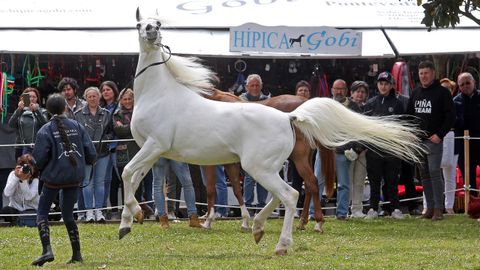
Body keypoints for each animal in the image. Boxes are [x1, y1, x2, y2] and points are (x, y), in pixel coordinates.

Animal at [202, 89, 334, 232]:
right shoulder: (229, 163)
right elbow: (237, 190)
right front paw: (245, 222)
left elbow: (210, 189)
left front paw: (208, 221)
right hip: (305, 158)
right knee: (309, 186)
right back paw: (302, 222)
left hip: (299, 158)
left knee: (312, 182)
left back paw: (318, 222)